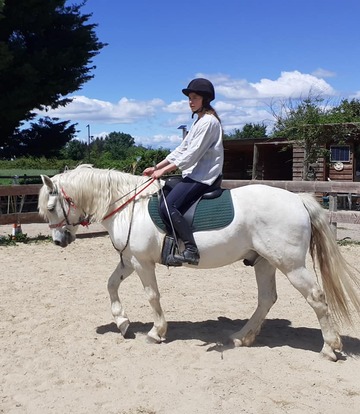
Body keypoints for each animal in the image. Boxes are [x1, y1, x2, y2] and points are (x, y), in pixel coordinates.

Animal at [38, 164, 360, 360]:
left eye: (51, 207)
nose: (59, 241)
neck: (130, 207)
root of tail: (297, 200)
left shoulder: (142, 263)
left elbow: (152, 296)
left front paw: (156, 332)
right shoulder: (129, 260)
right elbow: (110, 285)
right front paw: (122, 322)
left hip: (291, 265)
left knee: (316, 298)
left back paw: (329, 348)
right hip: (265, 262)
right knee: (267, 299)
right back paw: (241, 337)